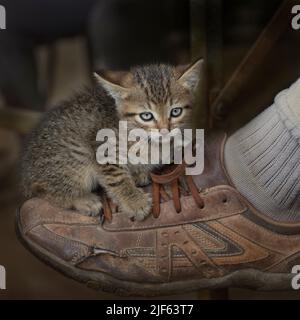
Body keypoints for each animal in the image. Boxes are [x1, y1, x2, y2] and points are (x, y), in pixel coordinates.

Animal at [20, 59, 204, 220]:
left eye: (176, 112)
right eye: (146, 116)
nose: (165, 131)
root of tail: (26, 174)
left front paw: (140, 173)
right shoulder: (103, 147)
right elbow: (117, 176)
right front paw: (134, 201)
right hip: (76, 154)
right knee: (41, 191)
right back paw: (83, 200)